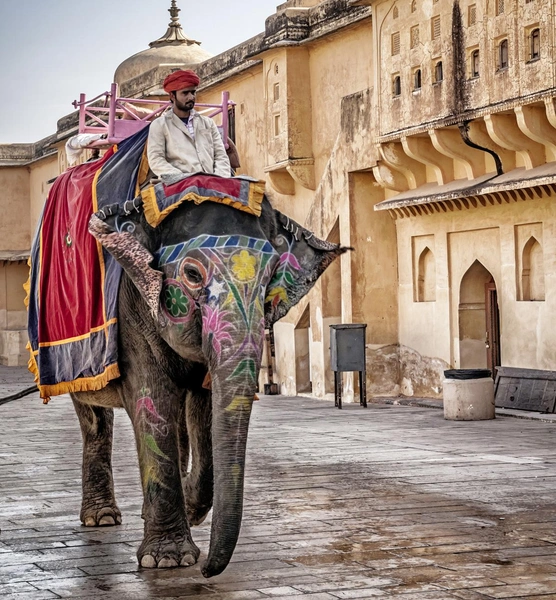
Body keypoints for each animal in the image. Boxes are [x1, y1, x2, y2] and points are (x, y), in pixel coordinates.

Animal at [63, 184, 346, 576]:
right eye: (193, 275)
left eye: (271, 277)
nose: (206, 571)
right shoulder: (130, 307)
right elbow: (153, 405)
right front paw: (168, 560)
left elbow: (206, 409)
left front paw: (192, 515)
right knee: (94, 418)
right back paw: (101, 518)